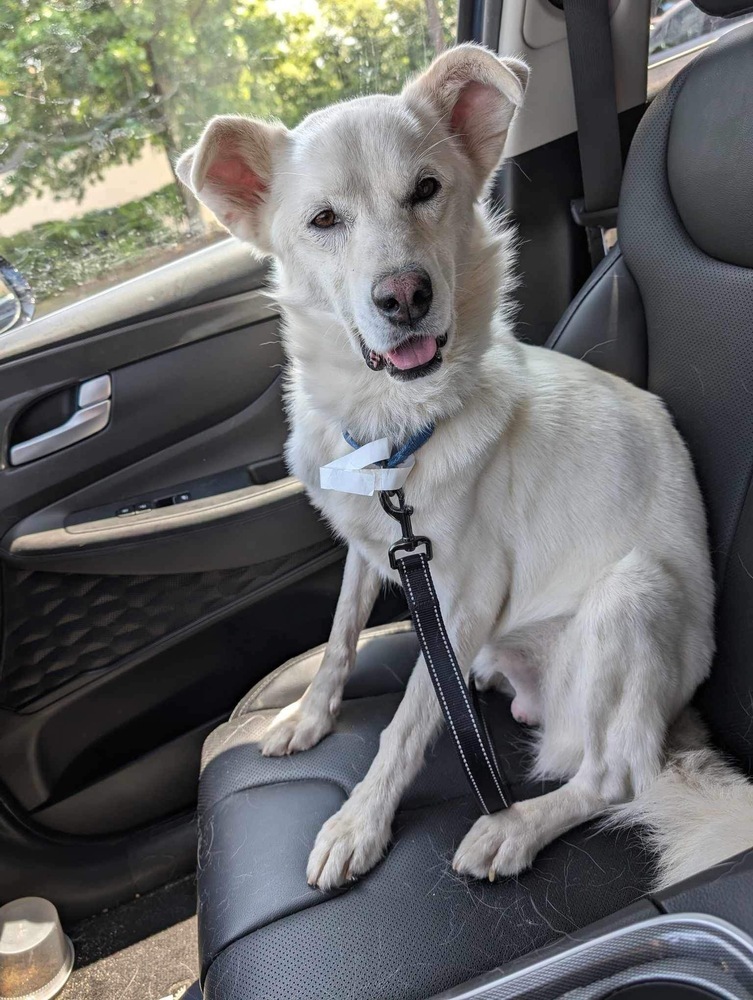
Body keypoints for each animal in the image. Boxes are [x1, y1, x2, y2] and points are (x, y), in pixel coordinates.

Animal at [179, 45, 752, 892]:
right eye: (323, 220)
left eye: (425, 189)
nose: (404, 296)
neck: (390, 425)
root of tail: (678, 722)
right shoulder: (370, 548)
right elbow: (340, 635)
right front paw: (311, 716)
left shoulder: (465, 592)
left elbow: (409, 721)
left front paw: (359, 822)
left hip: (634, 596)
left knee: (613, 776)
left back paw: (514, 826)